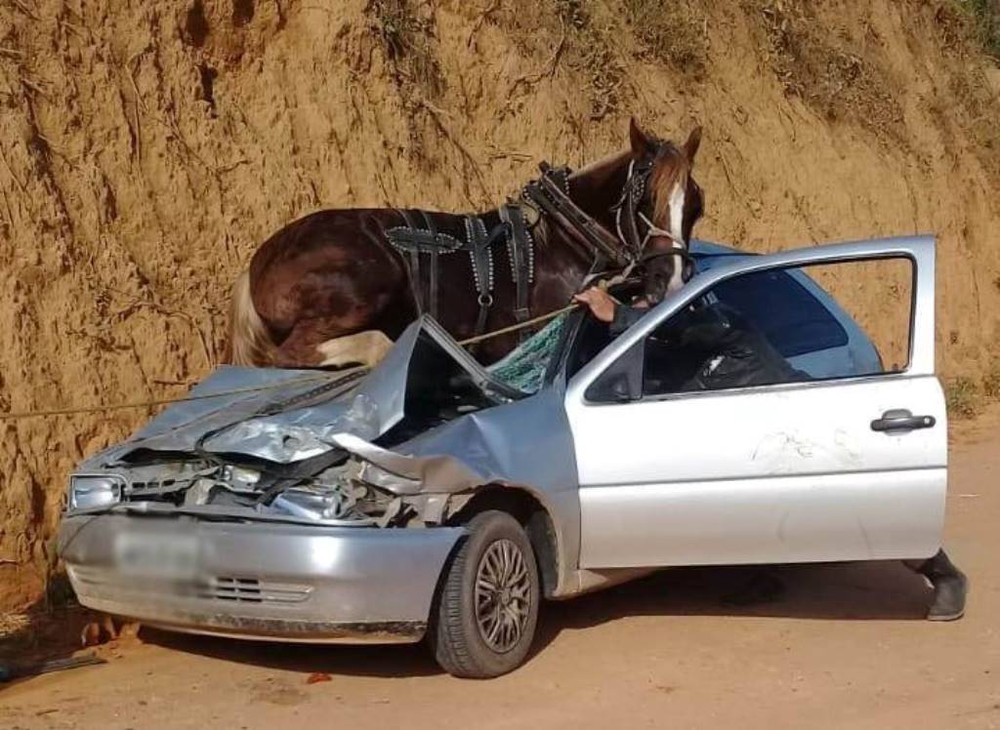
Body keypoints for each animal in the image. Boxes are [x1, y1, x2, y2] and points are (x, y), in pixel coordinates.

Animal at [225, 118, 705, 369]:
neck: (567, 240)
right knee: (296, 353)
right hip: (366, 282)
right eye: (645, 200)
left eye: (696, 206)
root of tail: (256, 266)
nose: (672, 279)